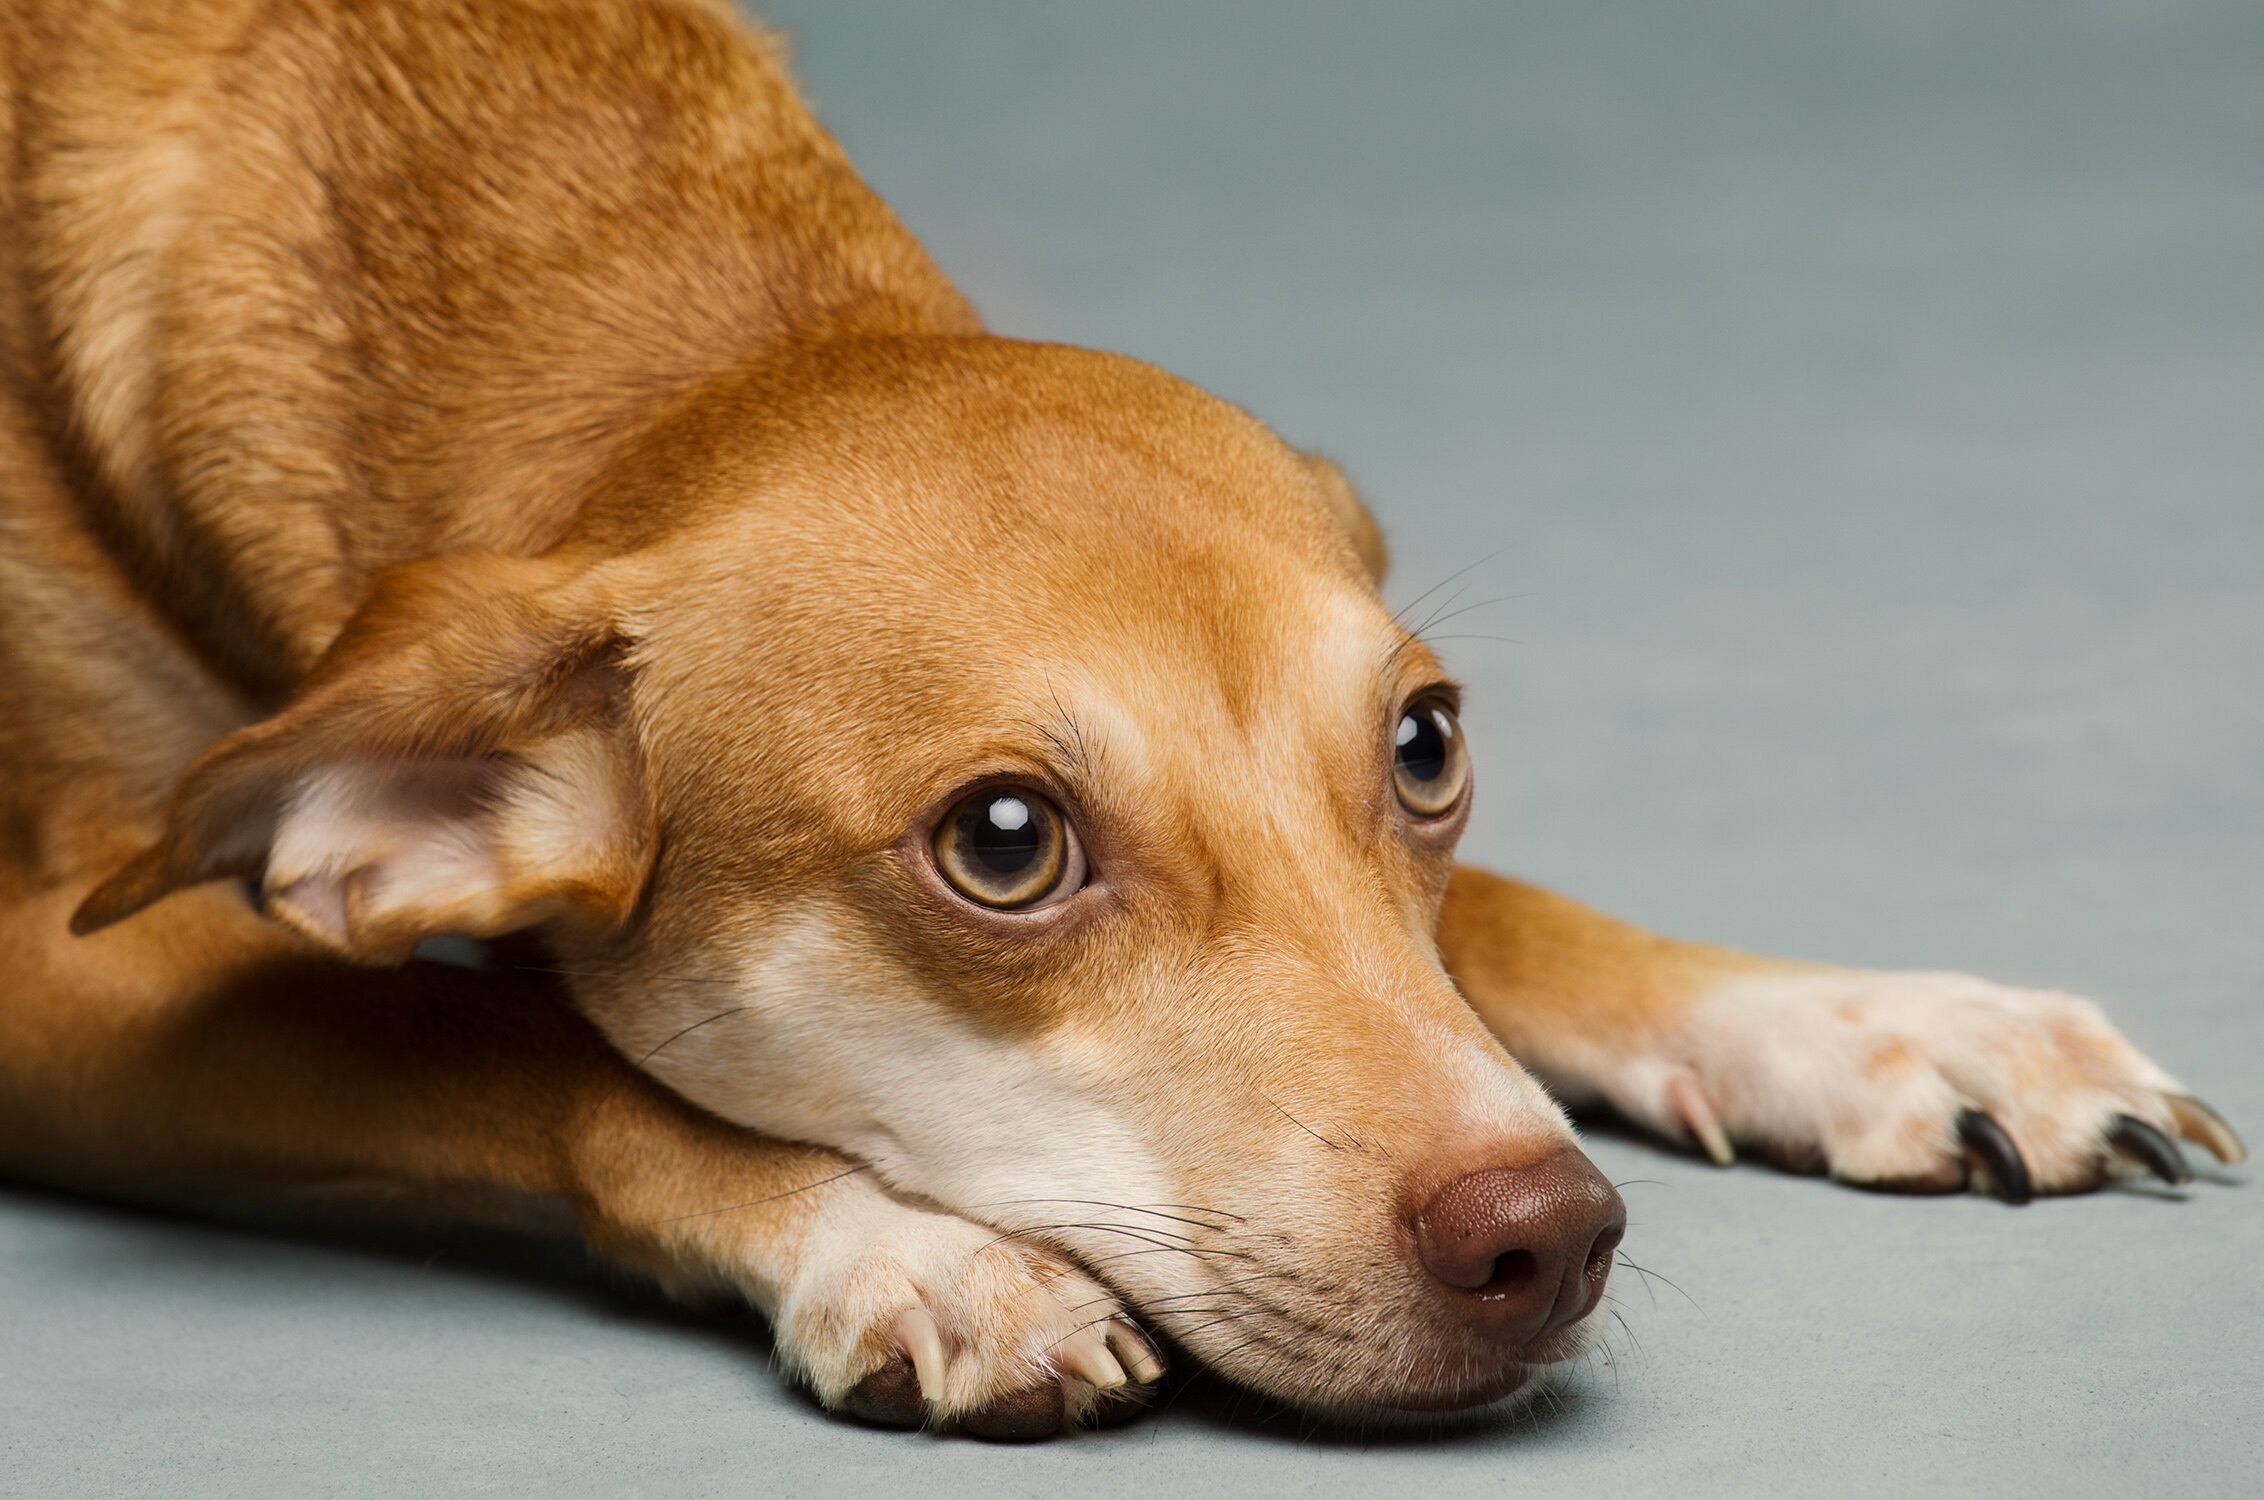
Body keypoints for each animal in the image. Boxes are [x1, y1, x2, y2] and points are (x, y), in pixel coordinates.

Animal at [0, 0, 2245, 1438]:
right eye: (1003, 845)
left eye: (1425, 748)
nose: (1549, 1238)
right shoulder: (60, 976)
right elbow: (501, 1056)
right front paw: (902, 1250)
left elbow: (1508, 923)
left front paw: (1867, 1022)